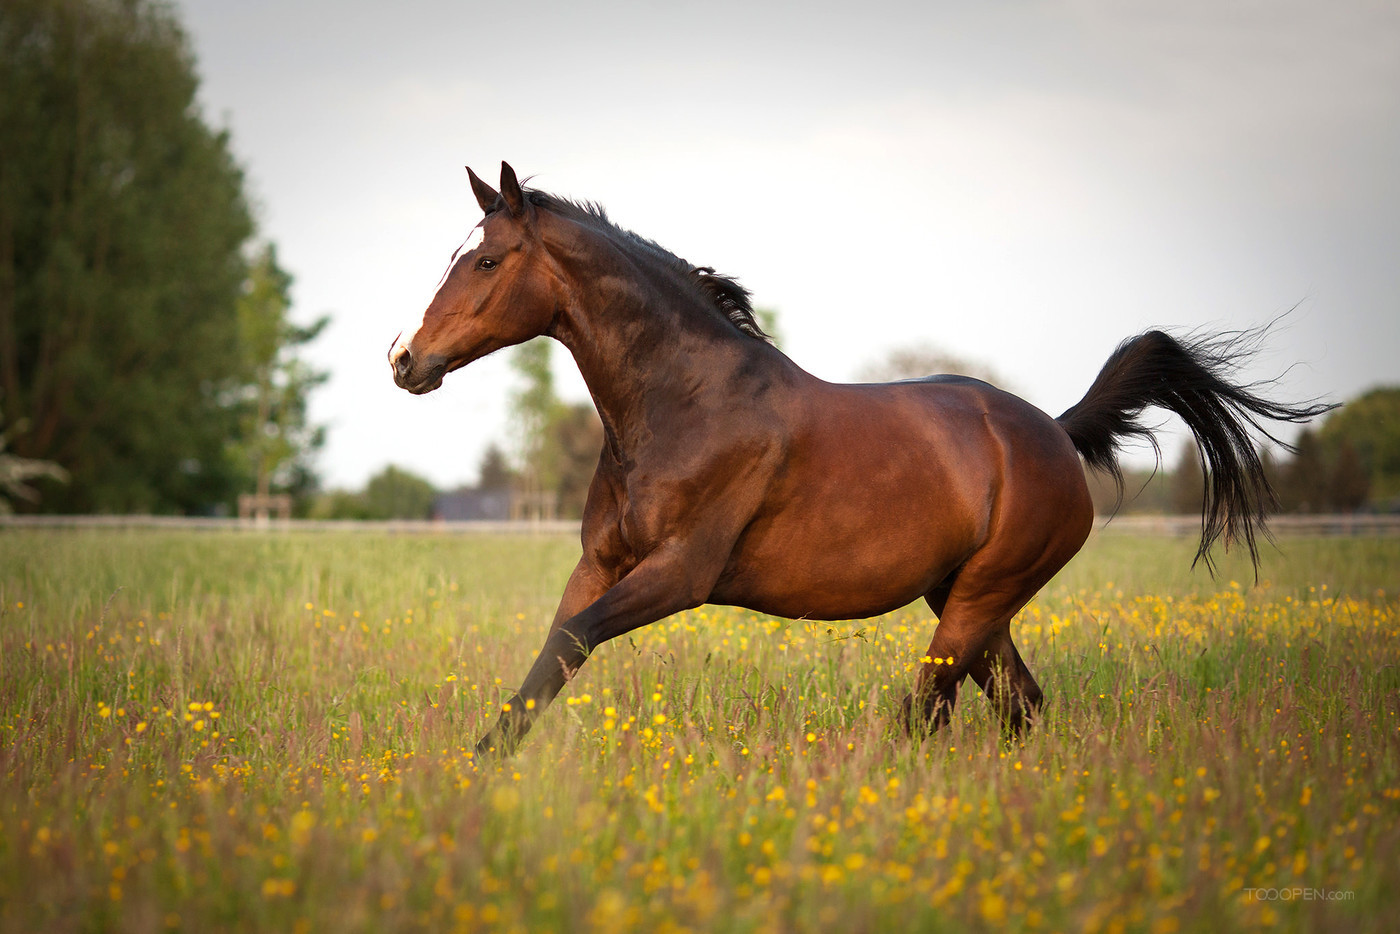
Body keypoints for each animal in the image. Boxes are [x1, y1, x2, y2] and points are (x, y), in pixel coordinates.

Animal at [389, 162, 1327, 761]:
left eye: (485, 260)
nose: (404, 360)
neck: (685, 405)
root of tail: (1056, 434)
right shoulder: (601, 563)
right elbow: (552, 656)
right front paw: (479, 767)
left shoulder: (681, 573)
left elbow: (575, 639)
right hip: (970, 601)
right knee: (1018, 706)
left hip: (977, 600)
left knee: (931, 713)